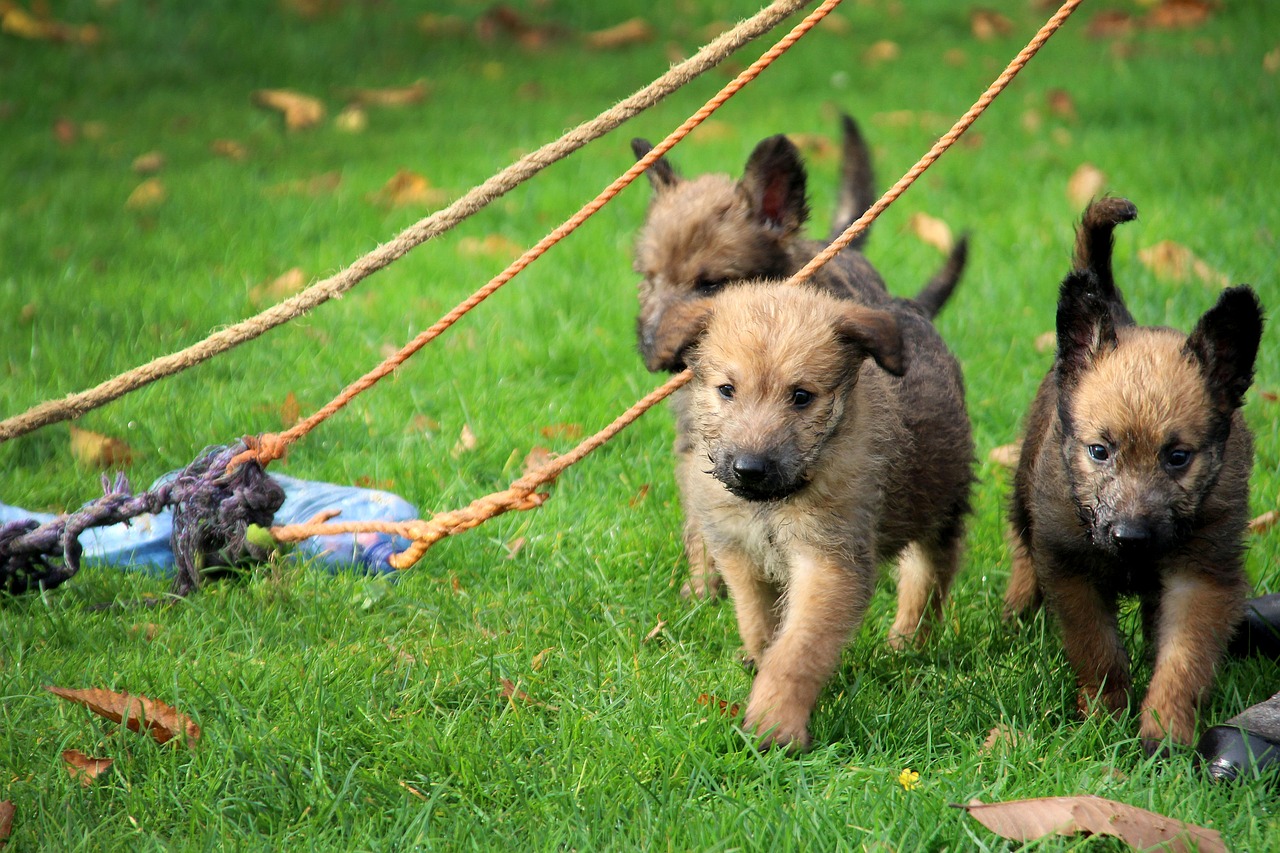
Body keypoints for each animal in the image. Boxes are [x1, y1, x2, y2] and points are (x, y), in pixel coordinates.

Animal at [680, 280, 967, 753]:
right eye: (726, 389)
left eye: (801, 396)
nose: (749, 469)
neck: (773, 504)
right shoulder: (740, 552)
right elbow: (759, 623)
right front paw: (758, 664)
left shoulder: (830, 560)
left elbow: (799, 648)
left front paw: (775, 724)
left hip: (938, 502)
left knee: (926, 576)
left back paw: (907, 642)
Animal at [1003, 195, 1264, 747]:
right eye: (1100, 452)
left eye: (1178, 457)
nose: (1131, 537)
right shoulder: (1070, 566)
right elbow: (1097, 648)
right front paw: (1105, 715)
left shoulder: (1201, 576)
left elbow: (1183, 658)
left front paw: (1164, 730)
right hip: (1024, 492)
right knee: (1021, 546)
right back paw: (1015, 614)